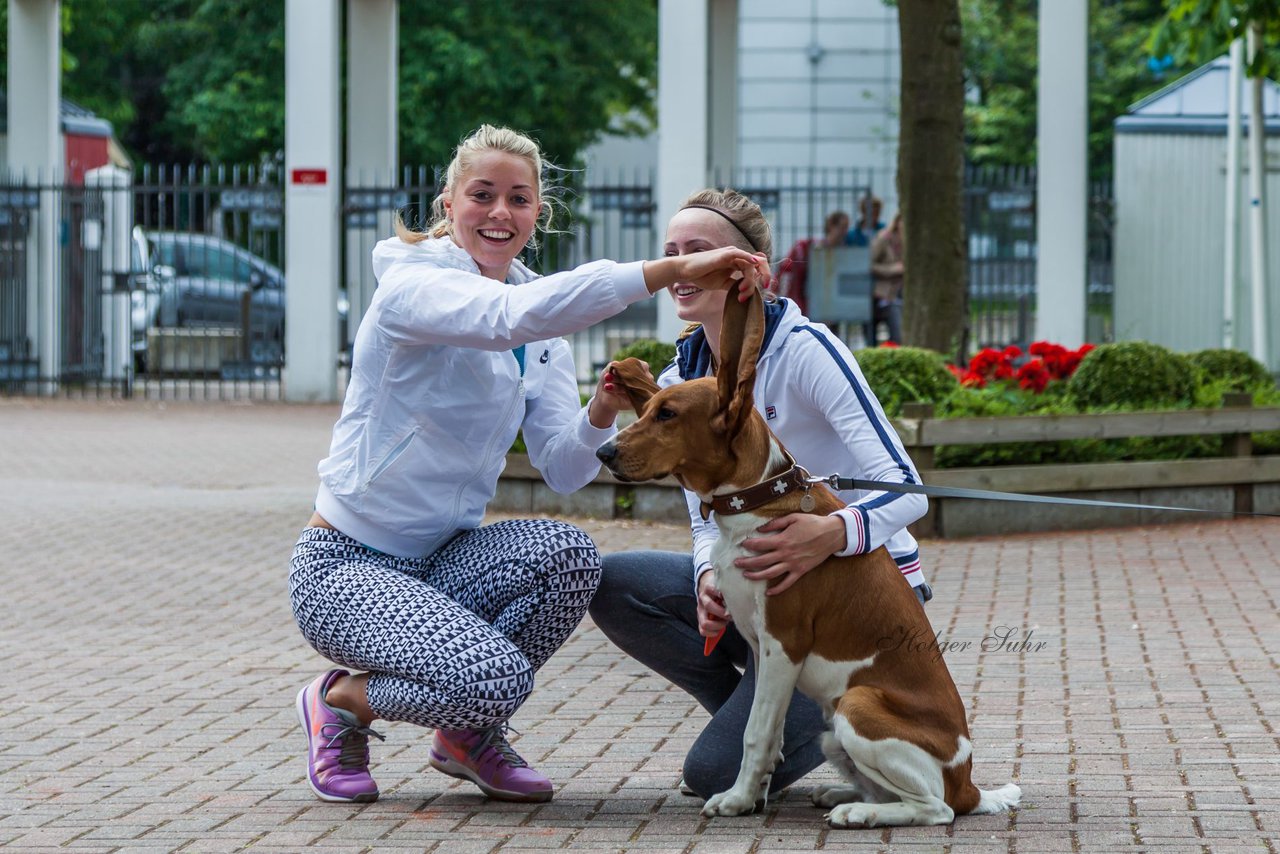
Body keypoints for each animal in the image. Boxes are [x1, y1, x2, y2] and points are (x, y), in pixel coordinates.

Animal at [593, 286, 1024, 829]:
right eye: (648, 408)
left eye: (668, 415)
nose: (603, 453)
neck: (756, 500)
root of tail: (969, 784)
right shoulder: (762, 650)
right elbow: (765, 729)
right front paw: (754, 795)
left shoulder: (784, 644)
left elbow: (754, 733)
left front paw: (737, 800)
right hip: (831, 731)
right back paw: (844, 794)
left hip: (856, 706)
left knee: (936, 808)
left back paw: (860, 813)